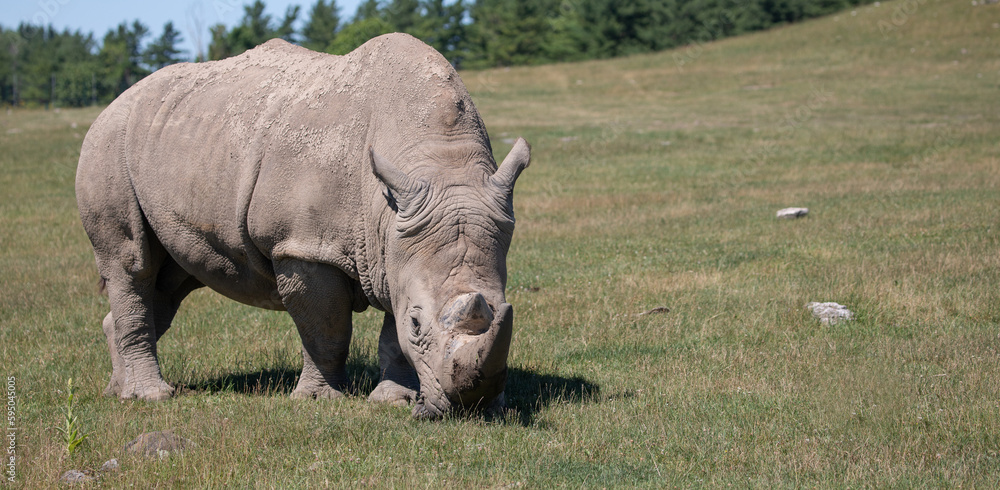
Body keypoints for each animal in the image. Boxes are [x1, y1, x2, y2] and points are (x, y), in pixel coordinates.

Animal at [75, 34, 530, 419]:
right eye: (419, 323)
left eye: (505, 308)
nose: (472, 407)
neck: (437, 160)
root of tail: (115, 102)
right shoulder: (304, 246)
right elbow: (326, 329)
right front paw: (318, 400)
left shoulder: (395, 242)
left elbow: (392, 332)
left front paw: (391, 401)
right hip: (108, 143)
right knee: (131, 264)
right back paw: (150, 396)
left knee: (169, 282)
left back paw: (117, 391)